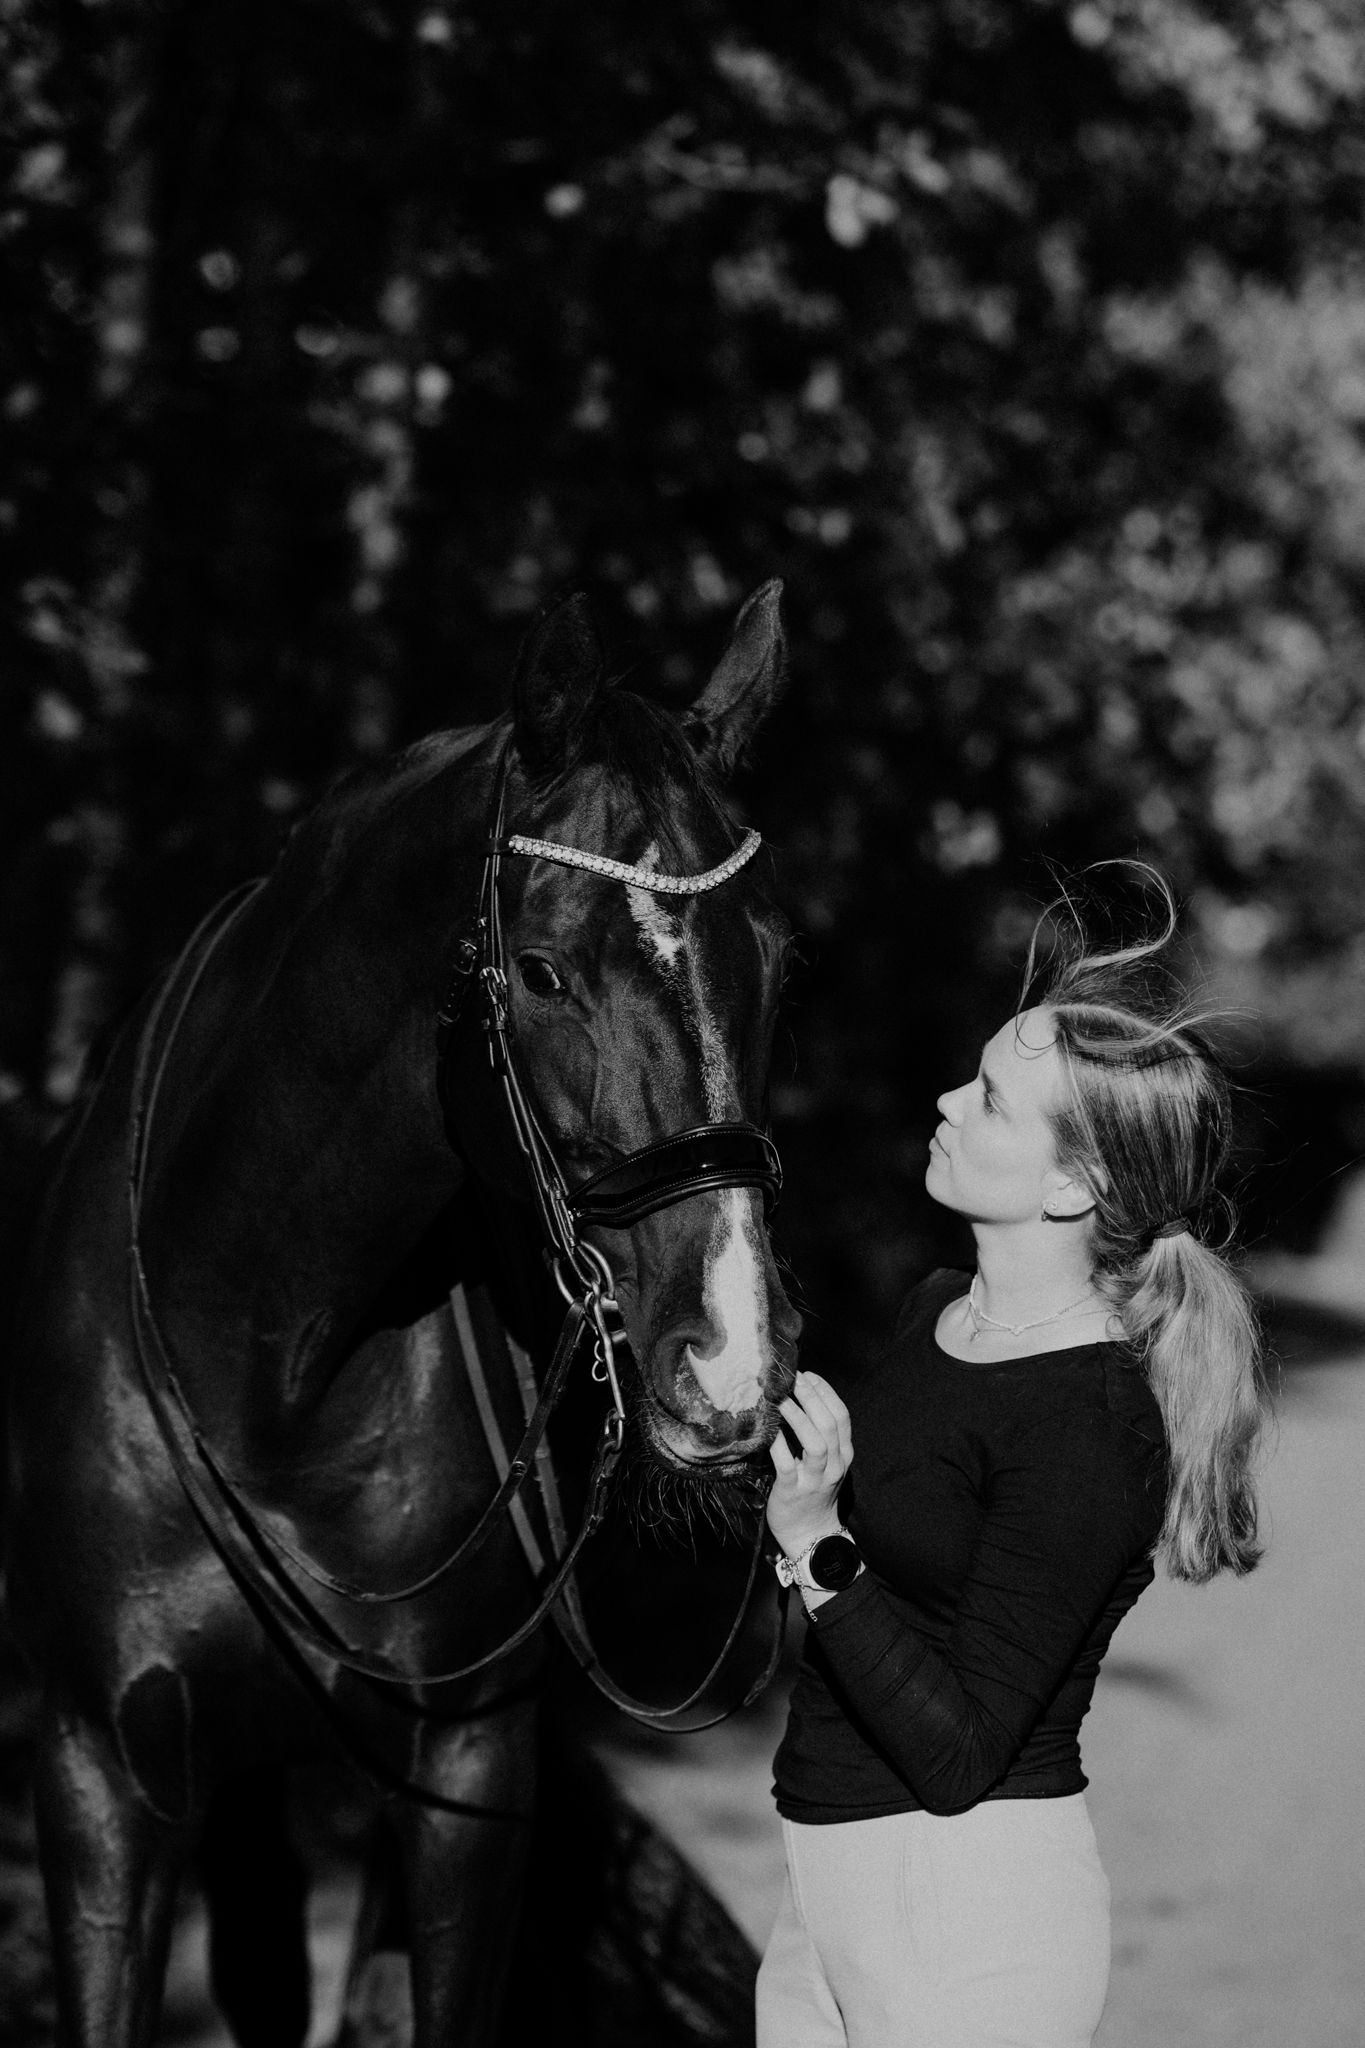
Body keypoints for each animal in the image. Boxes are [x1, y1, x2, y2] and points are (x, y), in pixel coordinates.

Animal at [4, 581, 801, 2048]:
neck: (269, 1365)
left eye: (775, 962)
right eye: (540, 972)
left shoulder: (469, 1768)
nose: (730, 1366)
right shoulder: (100, 1773)